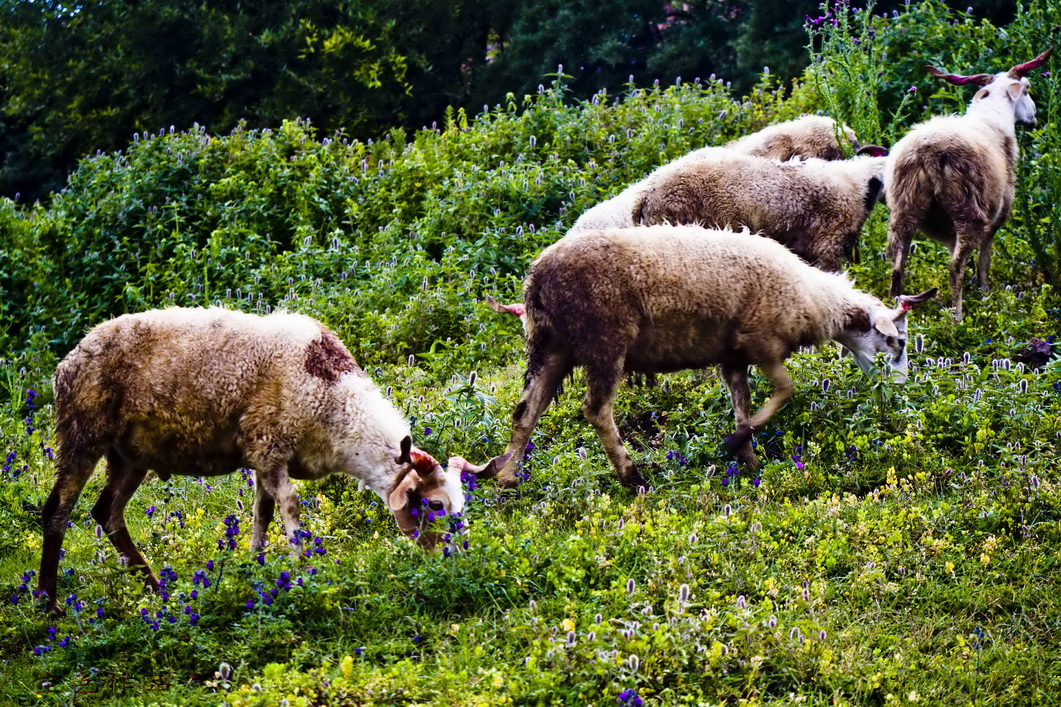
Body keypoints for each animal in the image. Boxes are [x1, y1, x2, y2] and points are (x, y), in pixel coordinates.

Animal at [37, 307, 509, 611]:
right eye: (435, 505)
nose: (457, 559)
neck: (334, 404)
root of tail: (66, 362)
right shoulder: (268, 445)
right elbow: (290, 508)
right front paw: (303, 571)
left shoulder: (263, 457)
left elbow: (261, 513)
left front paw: (256, 566)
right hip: (82, 432)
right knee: (58, 510)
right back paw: (49, 604)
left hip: (130, 455)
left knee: (108, 513)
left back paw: (157, 589)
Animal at [477, 226, 933, 490]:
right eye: (899, 344)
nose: (901, 394)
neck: (812, 298)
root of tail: (536, 280)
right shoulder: (762, 341)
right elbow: (786, 390)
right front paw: (735, 443)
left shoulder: (734, 357)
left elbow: (742, 405)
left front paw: (748, 460)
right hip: (604, 339)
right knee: (596, 410)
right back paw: (631, 476)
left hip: (552, 344)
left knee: (526, 410)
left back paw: (505, 476)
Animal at [882, 50, 1048, 322]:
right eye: (1027, 89)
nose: (1034, 118)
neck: (994, 120)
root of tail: (930, 150)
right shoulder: (997, 214)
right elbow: (984, 258)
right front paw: (984, 294)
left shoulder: (948, 230)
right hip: (968, 207)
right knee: (955, 266)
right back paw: (956, 317)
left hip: (905, 203)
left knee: (897, 260)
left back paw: (892, 305)